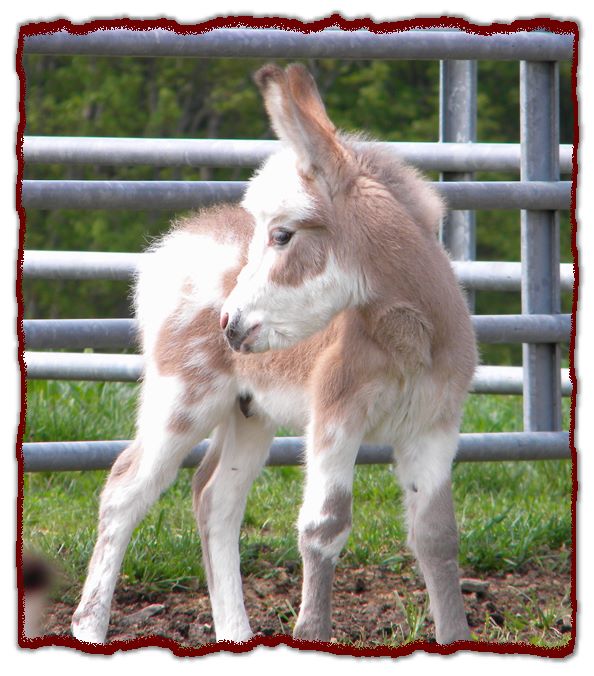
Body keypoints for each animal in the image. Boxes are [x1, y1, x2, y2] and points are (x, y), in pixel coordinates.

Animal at [72, 63, 478, 646]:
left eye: (282, 236)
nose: (230, 325)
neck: (407, 340)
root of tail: (177, 241)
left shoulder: (435, 425)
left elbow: (437, 536)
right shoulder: (335, 414)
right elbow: (325, 526)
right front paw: (311, 634)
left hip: (249, 414)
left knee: (215, 499)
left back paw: (234, 633)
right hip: (183, 398)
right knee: (126, 489)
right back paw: (89, 628)